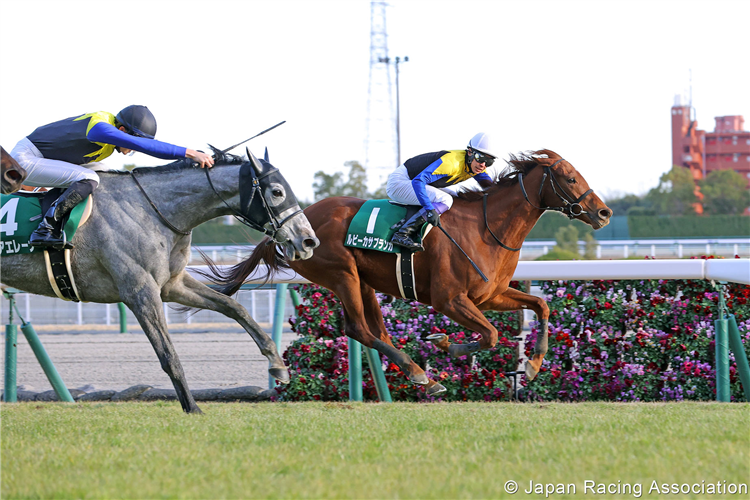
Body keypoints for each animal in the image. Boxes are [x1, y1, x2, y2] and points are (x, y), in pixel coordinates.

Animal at [0, 150, 320, 412]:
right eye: (277, 191)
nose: (308, 240)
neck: (150, 209)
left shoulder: (171, 285)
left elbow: (234, 307)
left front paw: (277, 364)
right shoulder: (140, 291)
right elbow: (168, 354)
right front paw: (192, 407)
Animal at [212, 148, 612, 394]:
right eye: (570, 178)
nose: (604, 212)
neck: (486, 229)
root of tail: (293, 225)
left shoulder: (490, 294)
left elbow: (540, 307)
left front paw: (532, 365)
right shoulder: (450, 300)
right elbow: (491, 334)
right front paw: (447, 343)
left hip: (364, 282)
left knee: (375, 330)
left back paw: (420, 374)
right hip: (342, 275)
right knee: (359, 329)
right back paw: (421, 374)